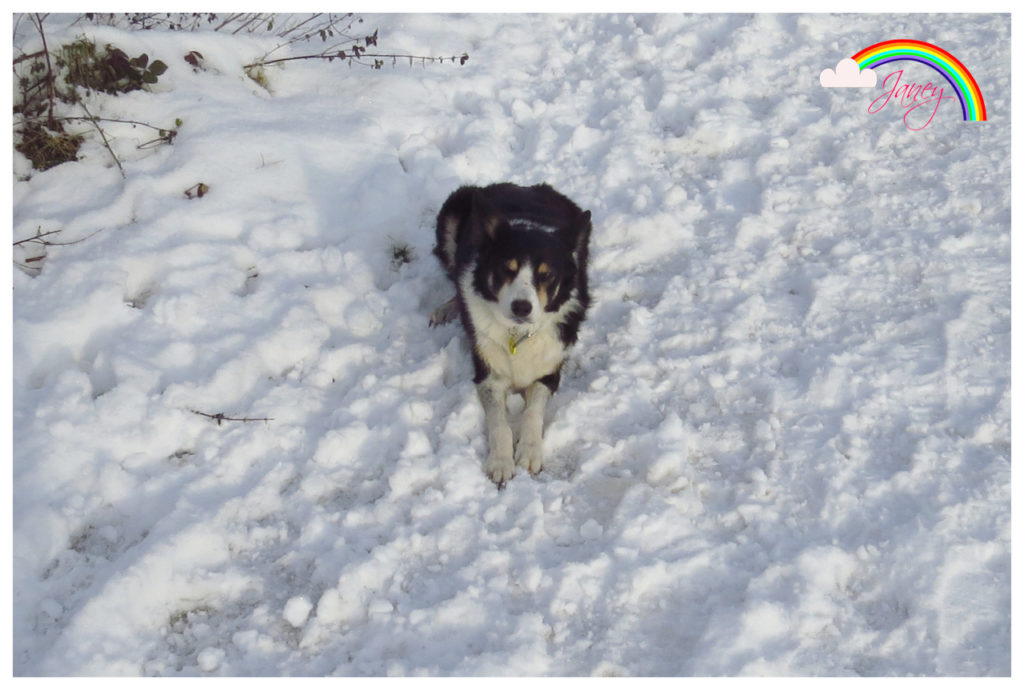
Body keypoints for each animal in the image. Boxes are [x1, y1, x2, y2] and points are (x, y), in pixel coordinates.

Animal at [432, 182, 593, 483]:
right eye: (507, 269)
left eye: (546, 275)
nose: (521, 306)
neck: (517, 334)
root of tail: (524, 186)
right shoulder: (488, 373)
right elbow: (499, 423)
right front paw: (500, 461)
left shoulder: (549, 371)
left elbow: (533, 412)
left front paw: (529, 452)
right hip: (454, 206)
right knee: (454, 275)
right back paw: (447, 308)